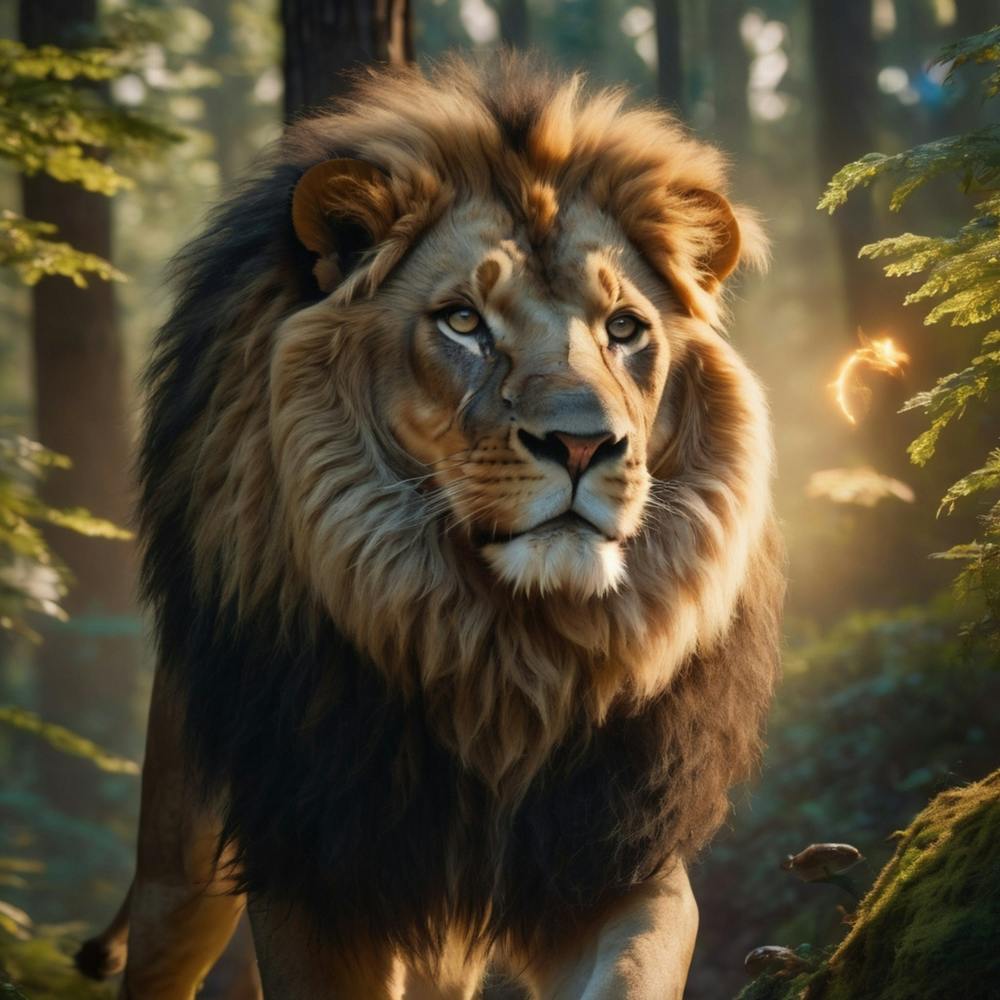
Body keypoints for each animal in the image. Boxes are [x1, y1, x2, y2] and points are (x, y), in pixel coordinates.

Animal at [77, 56, 783, 999]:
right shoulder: (314, 873)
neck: (503, 654)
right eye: (463, 321)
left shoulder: (616, 858)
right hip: (180, 868)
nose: (584, 443)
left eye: (625, 329)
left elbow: (631, 973)